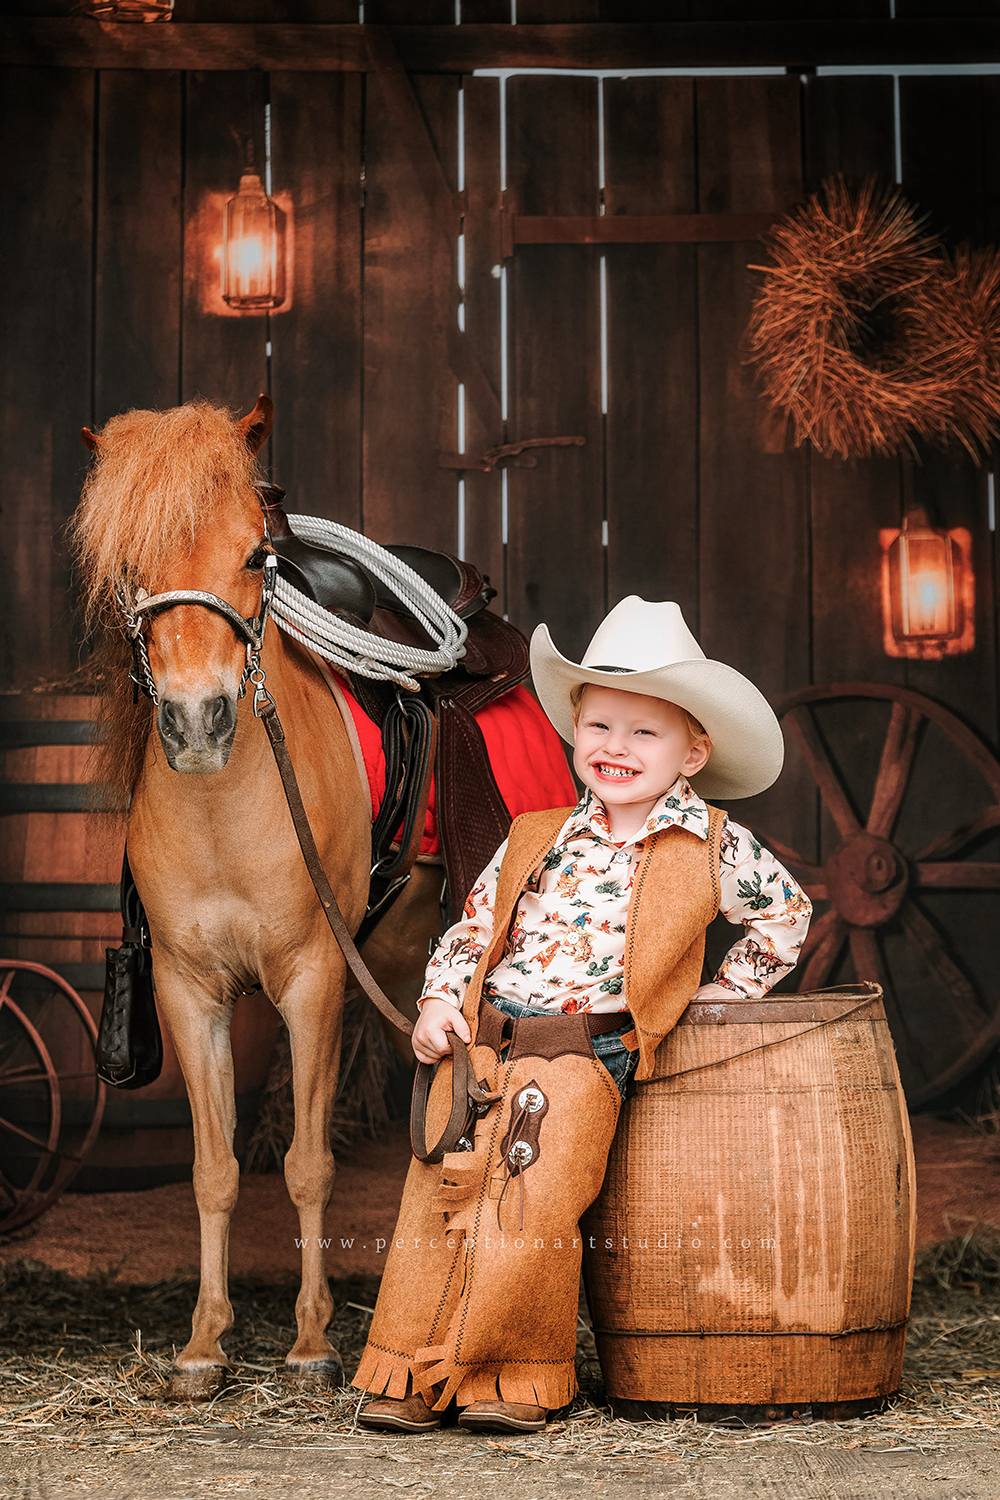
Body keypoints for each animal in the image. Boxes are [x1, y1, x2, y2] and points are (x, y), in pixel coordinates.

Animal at [70, 393, 440, 1398]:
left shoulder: (313, 979)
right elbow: (215, 1168)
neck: (223, 807)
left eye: (250, 557)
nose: (198, 721)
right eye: (129, 569)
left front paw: (312, 1343)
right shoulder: (189, 992)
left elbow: (309, 1166)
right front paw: (204, 1343)